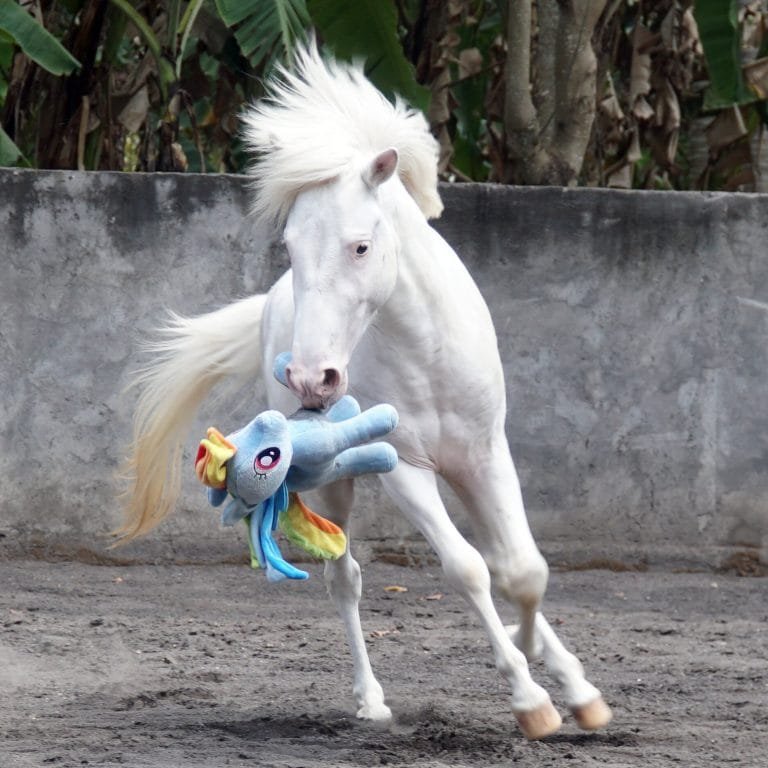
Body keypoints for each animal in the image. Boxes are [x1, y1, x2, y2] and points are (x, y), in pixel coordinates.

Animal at [118, 43, 612, 740]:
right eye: (290, 245)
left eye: (360, 246)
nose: (310, 378)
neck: (426, 352)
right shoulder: (405, 467)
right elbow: (467, 568)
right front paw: (529, 700)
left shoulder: (487, 454)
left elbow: (522, 568)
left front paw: (573, 686)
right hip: (331, 478)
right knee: (343, 577)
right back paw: (371, 702)